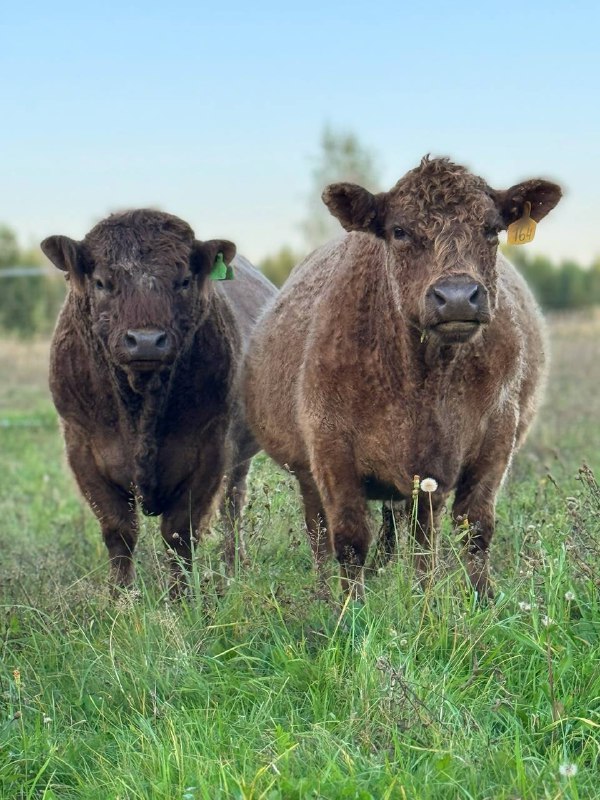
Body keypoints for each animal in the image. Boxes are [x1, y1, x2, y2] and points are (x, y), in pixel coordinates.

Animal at [41, 209, 276, 596]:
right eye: (102, 282)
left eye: (183, 281)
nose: (147, 341)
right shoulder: (82, 449)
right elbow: (119, 531)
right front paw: (120, 598)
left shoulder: (210, 451)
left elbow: (180, 533)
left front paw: (180, 598)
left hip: (240, 455)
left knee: (233, 505)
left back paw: (234, 567)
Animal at [241, 158, 560, 600]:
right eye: (400, 231)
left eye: (492, 229)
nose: (457, 297)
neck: (425, 380)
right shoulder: (330, 447)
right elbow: (349, 541)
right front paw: (350, 609)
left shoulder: (495, 436)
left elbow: (473, 531)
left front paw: (476, 601)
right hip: (307, 473)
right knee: (319, 535)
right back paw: (324, 594)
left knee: (415, 533)